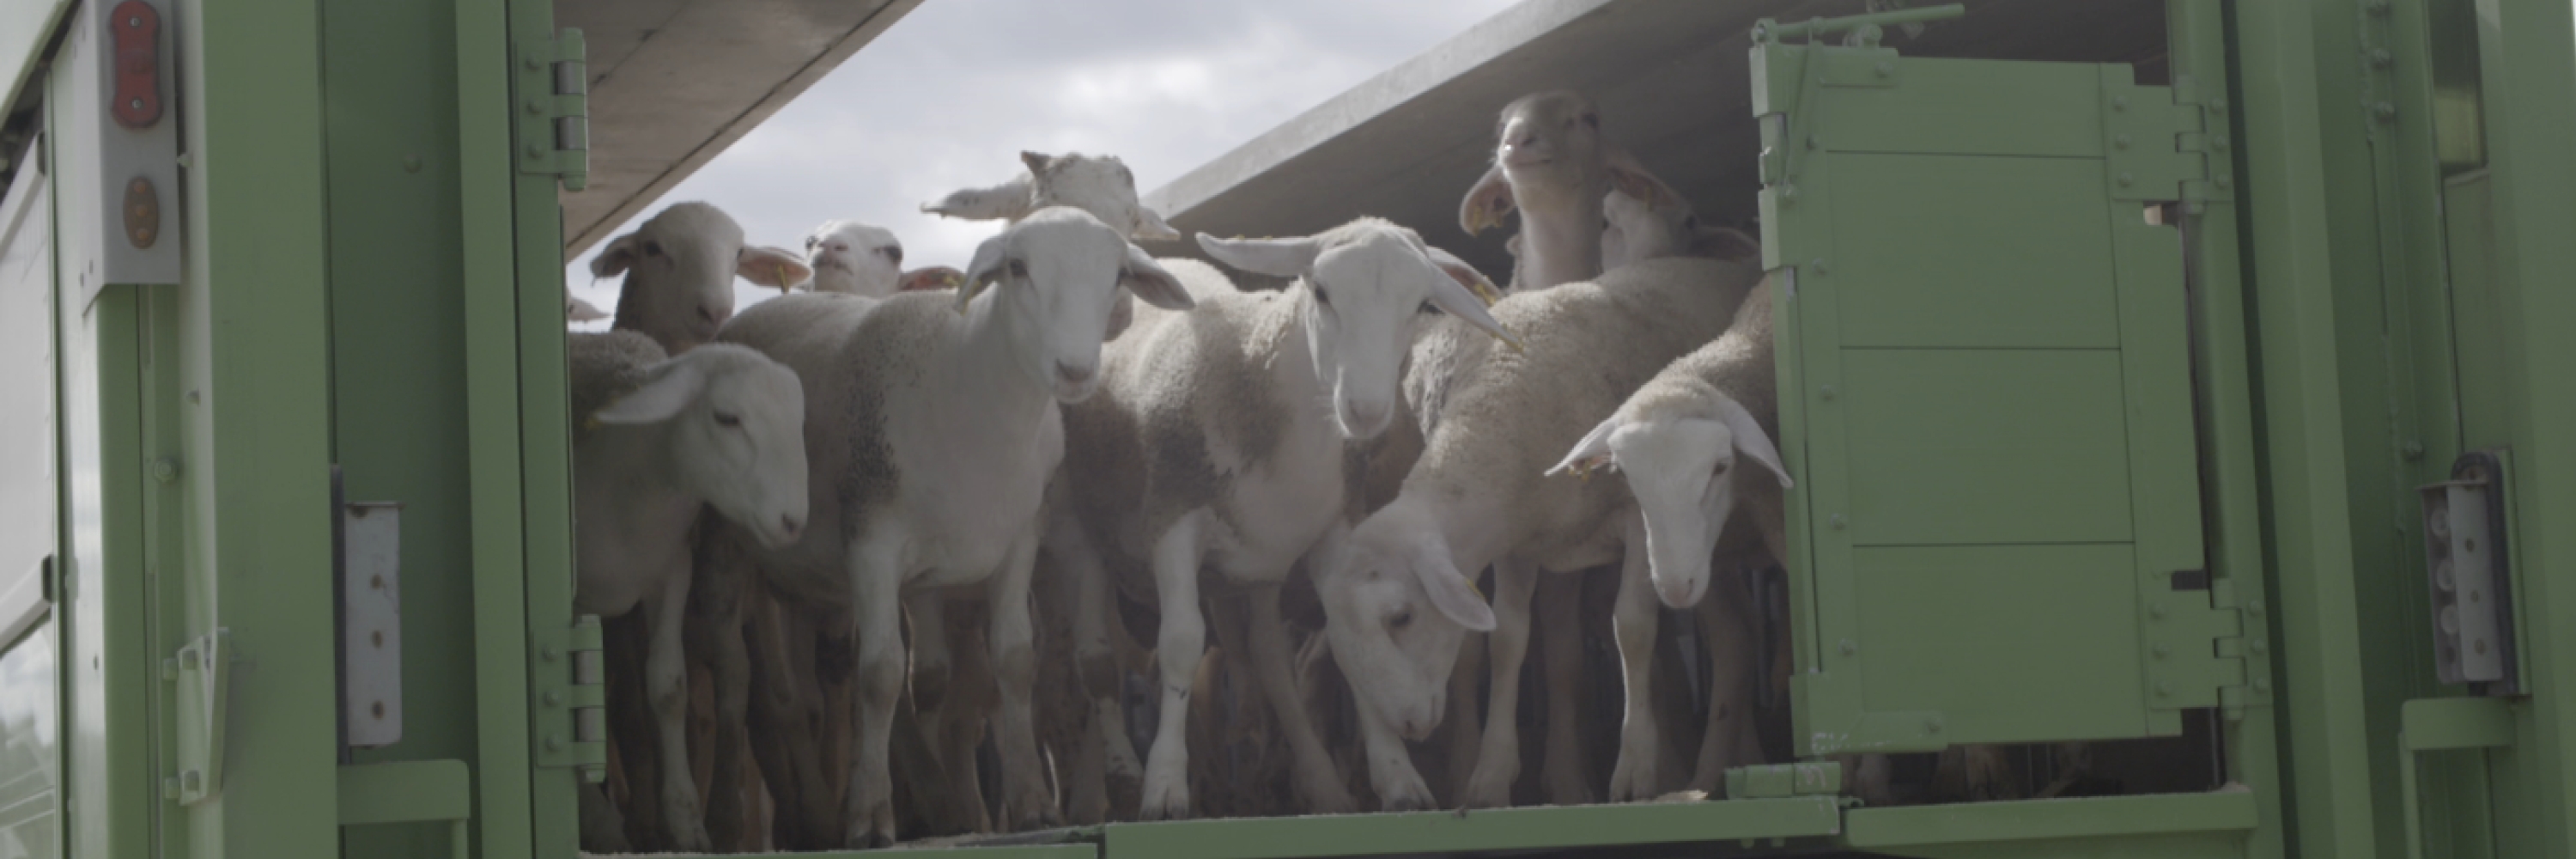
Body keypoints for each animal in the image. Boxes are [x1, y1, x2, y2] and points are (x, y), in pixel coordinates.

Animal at [569, 330, 809, 845]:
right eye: (727, 418)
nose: (792, 521)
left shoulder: (672, 570)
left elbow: (669, 688)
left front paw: (686, 819)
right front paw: (593, 820)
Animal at [696, 206, 1195, 840]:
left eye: (1118, 275)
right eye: (1017, 267)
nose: (1076, 370)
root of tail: (755, 313)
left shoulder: (1017, 541)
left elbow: (1014, 661)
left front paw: (1031, 802)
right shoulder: (873, 541)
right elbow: (882, 674)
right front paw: (871, 818)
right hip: (721, 537)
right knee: (735, 678)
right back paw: (729, 817)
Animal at [1319, 258, 1762, 804]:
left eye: (1400, 617)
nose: (1407, 727)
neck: (1506, 403)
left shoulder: (1641, 523)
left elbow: (1634, 629)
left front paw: (1635, 768)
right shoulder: (1521, 543)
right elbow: (1510, 640)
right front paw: (1491, 774)